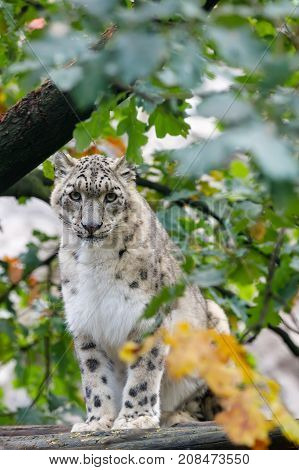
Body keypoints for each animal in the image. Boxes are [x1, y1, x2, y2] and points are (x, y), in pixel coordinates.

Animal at [51, 152, 230, 432]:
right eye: (75, 195)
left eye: (110, 196)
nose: (91, 226)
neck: (96, 262)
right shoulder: (85, 324)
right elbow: (94, 376)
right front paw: (96, 422)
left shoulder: (148, 319)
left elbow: (144, 372)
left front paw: (135, 418)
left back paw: (176, 416)